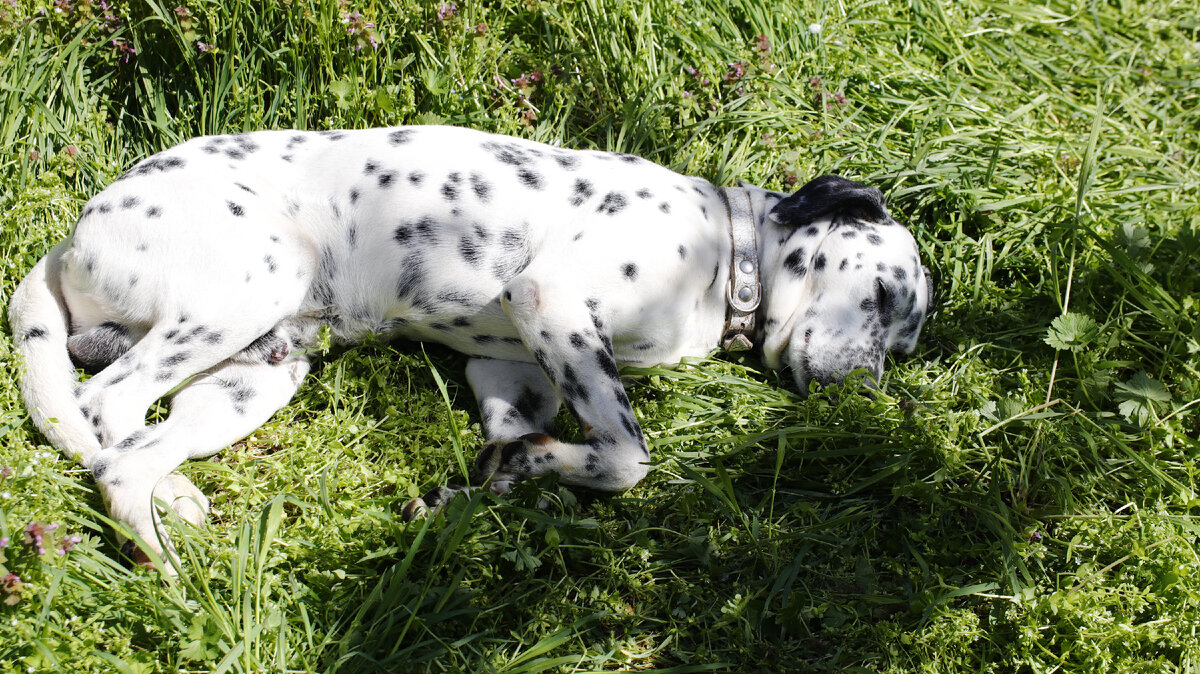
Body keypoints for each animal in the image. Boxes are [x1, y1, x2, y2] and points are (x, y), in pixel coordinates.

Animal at [4, 124, 931, 561]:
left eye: (905, 345)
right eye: (884, 295)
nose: (866, 391)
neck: (722, 258)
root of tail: (72, 236)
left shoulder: (513, 369)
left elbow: (524, 453)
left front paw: (490, 480)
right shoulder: (551, 298)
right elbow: (629, 457)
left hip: (254, 375)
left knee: (128, 441)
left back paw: (178, 502)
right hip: (248, 287)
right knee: (109, 414)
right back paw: (173, 565)